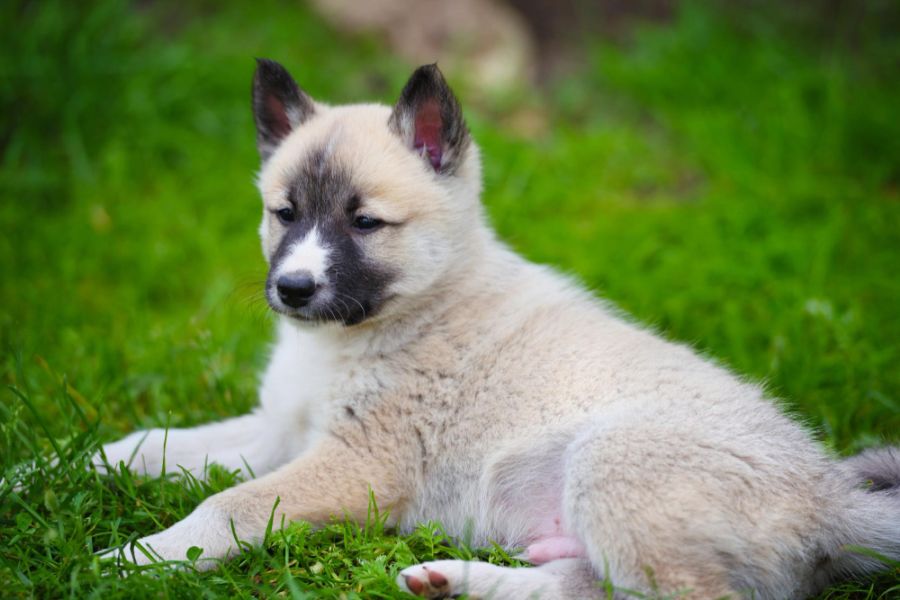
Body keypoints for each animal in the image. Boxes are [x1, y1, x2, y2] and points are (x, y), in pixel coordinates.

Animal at [98, 58, 900, 596]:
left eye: (364, 222)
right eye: (285, 213)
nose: (293, 289)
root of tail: (830, 502)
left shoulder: (354, 464)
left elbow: (222, 506)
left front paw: (135, 559)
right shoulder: (280, 433)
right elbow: (160, 444)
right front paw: (76, 463)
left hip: (614, 466)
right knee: (582, 587)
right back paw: (452, 580)